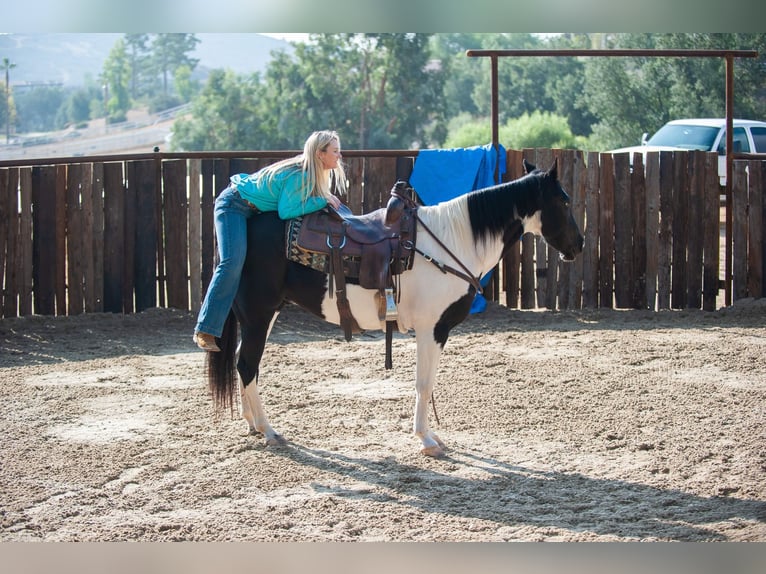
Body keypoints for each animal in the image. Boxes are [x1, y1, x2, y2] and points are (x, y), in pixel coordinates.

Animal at [207, 159, 584, 460]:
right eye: (563, 200)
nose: (579, 245)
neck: (452, 242)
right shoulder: (433, 329)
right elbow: (424, 383)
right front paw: (427, 440)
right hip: (259, 314)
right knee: (247, 364)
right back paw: (269, 430)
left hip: (265, 314)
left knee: (244, 362)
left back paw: (252, 424)